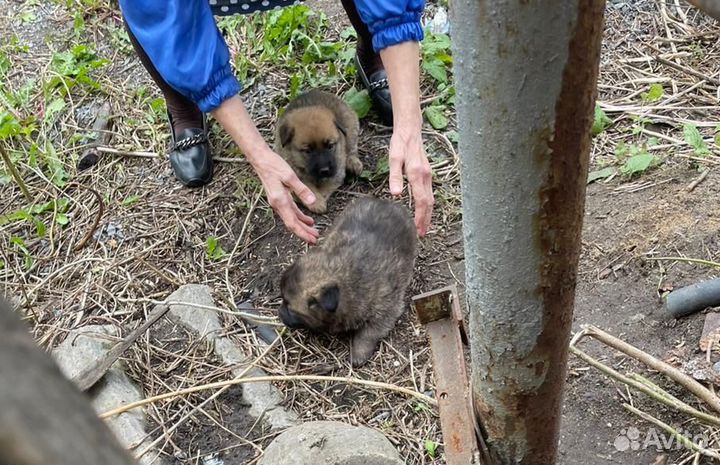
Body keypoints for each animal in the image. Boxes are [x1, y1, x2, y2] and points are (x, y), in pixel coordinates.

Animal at [280, 196, 416, 366]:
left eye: (290, 307)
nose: (279, 314)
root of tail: (386, 202)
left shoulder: (386, 308)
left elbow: (369, 333)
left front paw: (359, 352)